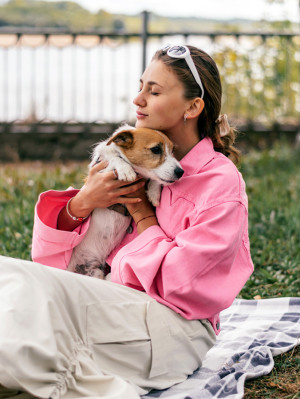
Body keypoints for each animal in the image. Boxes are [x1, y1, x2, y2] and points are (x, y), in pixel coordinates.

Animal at [67, 124, 184, 278]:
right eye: (156, 149)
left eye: (173, 150)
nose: (180, 172)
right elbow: (115, 159)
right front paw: (125, 170)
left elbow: (155, 179)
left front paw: (154, 192)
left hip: (96, 272)